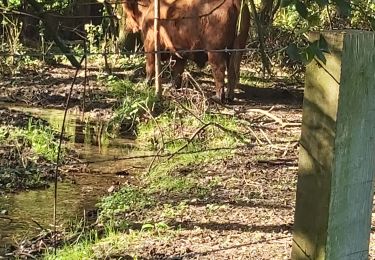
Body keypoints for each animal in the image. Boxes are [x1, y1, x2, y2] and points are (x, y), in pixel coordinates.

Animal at [122, 0, 250, 102]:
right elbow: (177, 70)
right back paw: (230, 96)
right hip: (237, 49)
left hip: (215, 52)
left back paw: (218, 97)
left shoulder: (150, 45)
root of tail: (234, 2)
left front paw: (147, 83)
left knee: (219, 70)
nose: (127, 26)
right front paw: (174, 86)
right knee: (233, 71)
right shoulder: (179, 51)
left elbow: (150, 66)